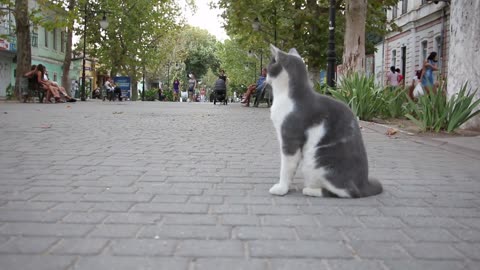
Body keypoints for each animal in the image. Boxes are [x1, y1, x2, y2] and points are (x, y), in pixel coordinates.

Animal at [266, 44, 382, 198]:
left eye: (269, 66)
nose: (265, 76)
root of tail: (364, 185)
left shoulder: (290, 139)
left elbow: (286, 167)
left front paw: (281, 188)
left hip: (315, 162)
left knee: (347, 192)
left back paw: (310, 190)